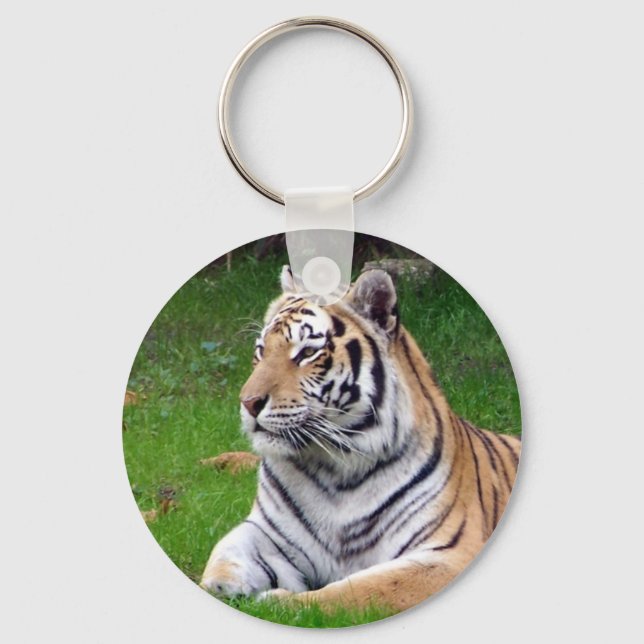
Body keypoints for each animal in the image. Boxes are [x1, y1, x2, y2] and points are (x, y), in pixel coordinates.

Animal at [200, 266, 521, 613]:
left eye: (308, 352)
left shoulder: (448, 554)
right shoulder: (268, 534)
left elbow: (355, 591)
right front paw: (219, 589)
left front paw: (278, 603)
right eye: (261, 351)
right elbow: (223, 554)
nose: (248, 402)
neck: (336, 467)